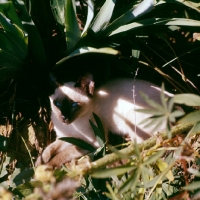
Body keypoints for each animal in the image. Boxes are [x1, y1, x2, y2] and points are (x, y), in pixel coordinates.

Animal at [35, 73, 172, 167]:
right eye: (57, 104)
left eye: (74, 105)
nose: (64, 117)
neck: (72, 126)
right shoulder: (66, 137)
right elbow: (50, 148)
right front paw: (40, 163)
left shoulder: (92, 143)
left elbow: (64, 153)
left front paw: (48, 167)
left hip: (131, 121)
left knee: (142, 151)